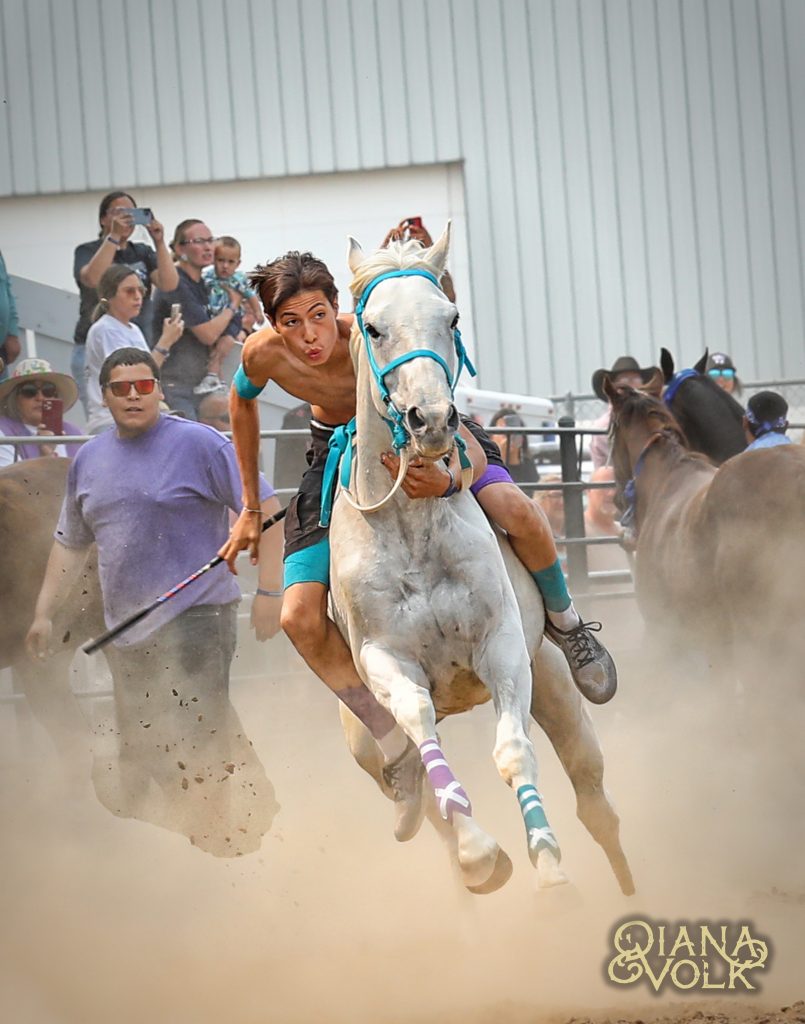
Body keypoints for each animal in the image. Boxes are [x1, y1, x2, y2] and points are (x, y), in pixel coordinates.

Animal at [329, 226, 630, 897]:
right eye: (374, 328)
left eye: (451, 317)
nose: (433, 420)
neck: (412, 530)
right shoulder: (389, 662)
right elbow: (421, 726)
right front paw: (479, 854)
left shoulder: (503, 647)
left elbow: (513, 751)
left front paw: (548, 865)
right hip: (364, 740)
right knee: (415, 791)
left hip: (552, 679)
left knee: (595, 801)